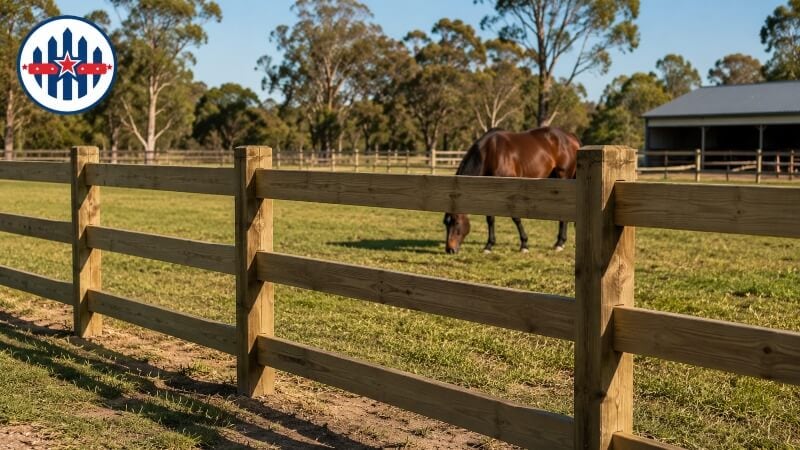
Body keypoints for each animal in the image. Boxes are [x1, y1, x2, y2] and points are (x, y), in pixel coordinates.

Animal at [443, 127, 580, 254]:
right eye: (445, 223)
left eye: (456, 222)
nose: (450, 249)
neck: (490, 153)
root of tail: (571, 137)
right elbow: (490, 219)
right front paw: (489, 246)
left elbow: (516, 218)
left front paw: (524, 245)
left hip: (563, 177)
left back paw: (559, 243)